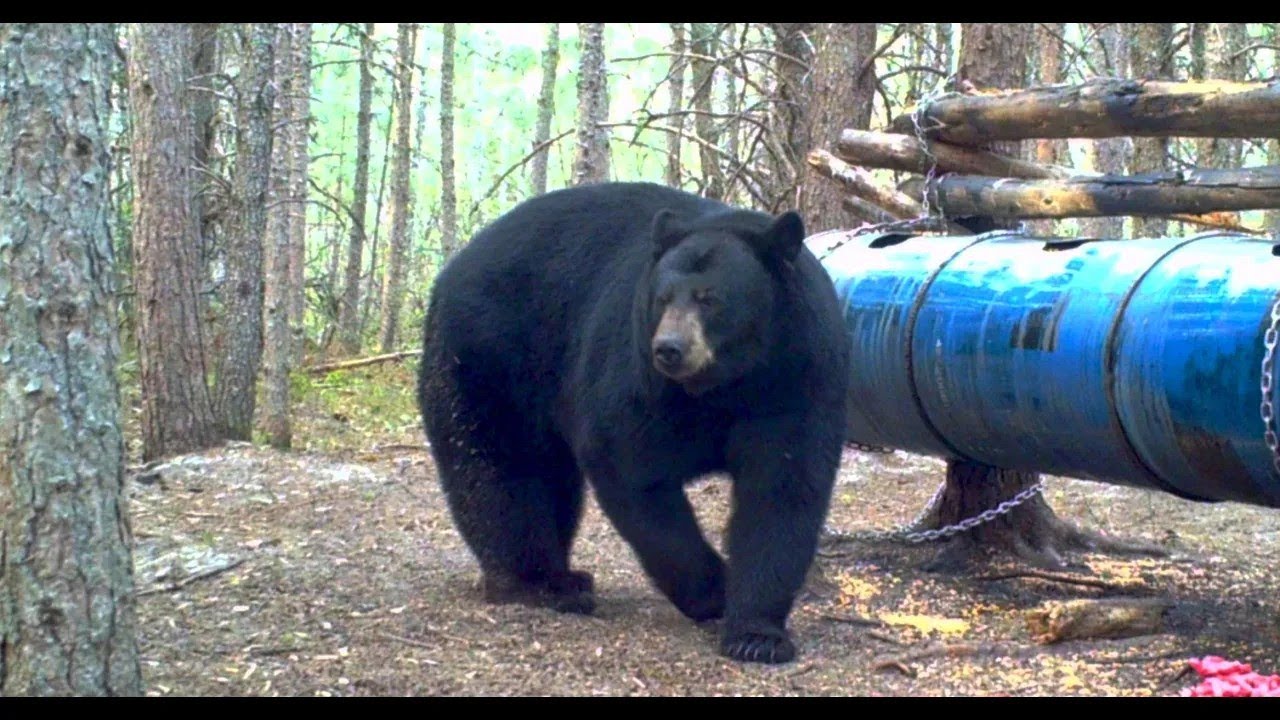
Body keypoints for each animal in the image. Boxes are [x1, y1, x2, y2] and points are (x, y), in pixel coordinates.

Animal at [417, 181, 850, 664]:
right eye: (663, 297)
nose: (670, 348)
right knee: (500, 469)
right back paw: (541, 584)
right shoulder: (638, 376)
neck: (723, 383)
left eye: (710, 298)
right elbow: (630, 466)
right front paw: (713, 588)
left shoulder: (795, 378)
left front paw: (758, 634)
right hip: (494, 354)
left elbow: (782, 489)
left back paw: (565, 576)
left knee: (550, 478)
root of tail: (454, 266)